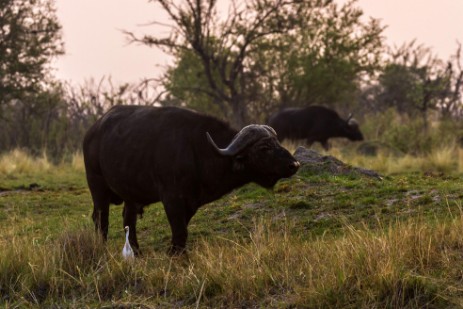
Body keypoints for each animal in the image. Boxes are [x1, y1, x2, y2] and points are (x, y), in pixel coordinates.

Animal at [83, 104, 300, 254]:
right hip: (97, 187)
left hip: (130, 195)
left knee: (128, 219)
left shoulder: (191, 202)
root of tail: (92, 132)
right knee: (101, 219)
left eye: (277, 142)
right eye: (264, 148)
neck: (196, 150)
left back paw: (137, 253)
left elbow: (182, 230)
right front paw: (176, 254)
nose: (294, 164)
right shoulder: (171, 198)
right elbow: (180, 231)